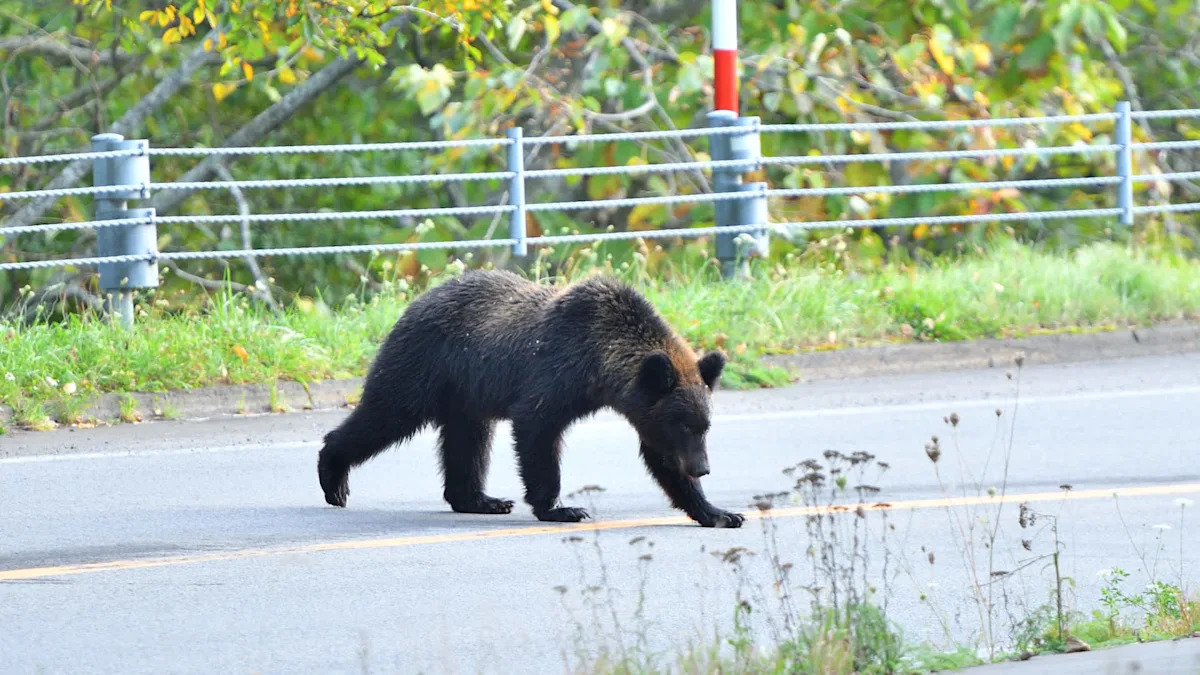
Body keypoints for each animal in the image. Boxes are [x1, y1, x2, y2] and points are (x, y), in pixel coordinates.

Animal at [316, 268, 744, 528]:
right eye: (685, 424)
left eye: (704, 426)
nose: (702, 468)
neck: (600, 366)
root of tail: (418, 300)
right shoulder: (557, 372)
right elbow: (537, 430)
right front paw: (562, 507)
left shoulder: (642, 409)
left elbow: (659, 458)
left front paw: (719, 512)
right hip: (424, 365)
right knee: (387, 414)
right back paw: (333, 477)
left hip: (466, 394)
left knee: (468, 441)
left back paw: (480, 499)